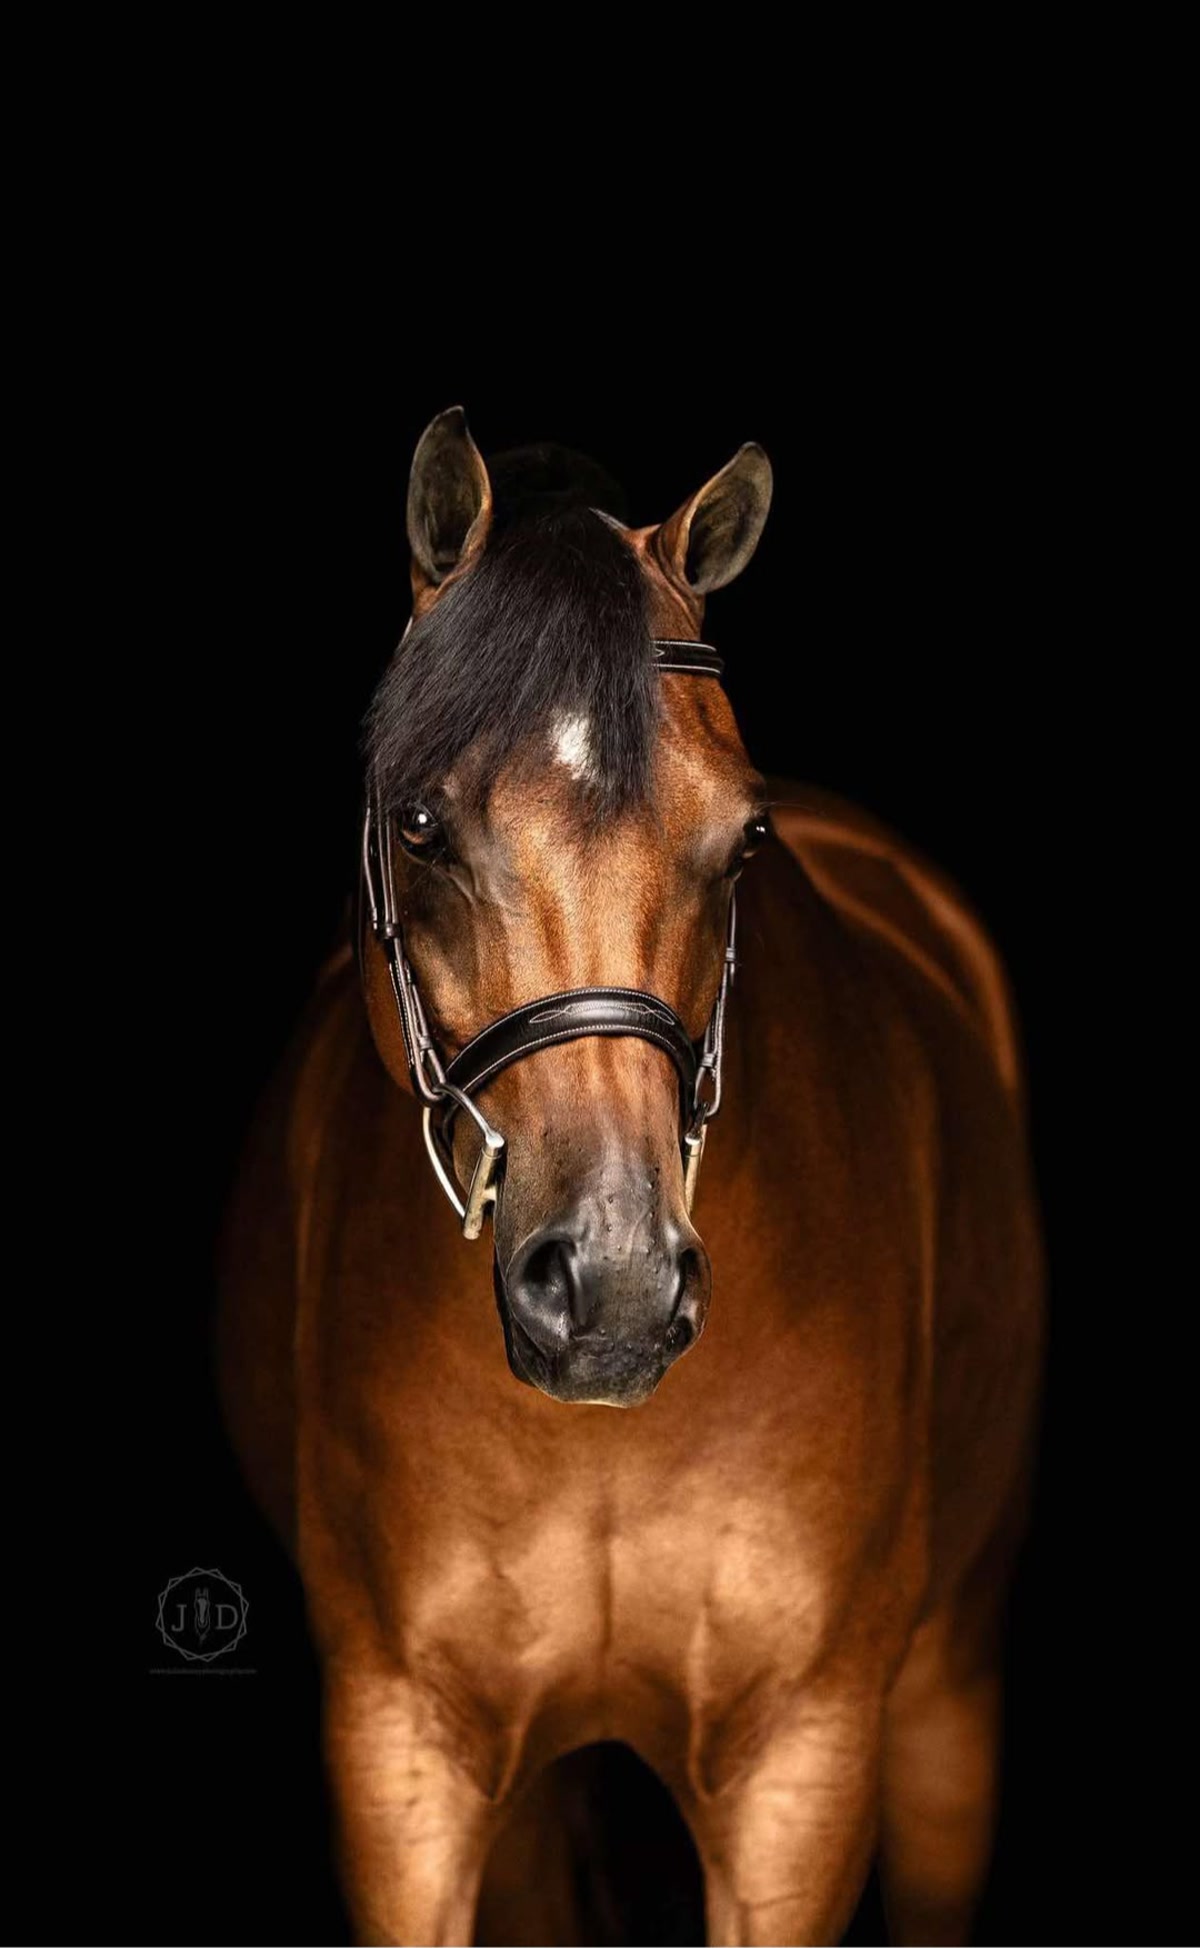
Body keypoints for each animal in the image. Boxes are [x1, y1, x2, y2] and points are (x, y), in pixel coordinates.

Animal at [218, 407, 1043, 1947]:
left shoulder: (800, 1764)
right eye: (419, 824)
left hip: (949, 1696)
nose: (609, 1289)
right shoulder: (402, 1753)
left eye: (748, 837)